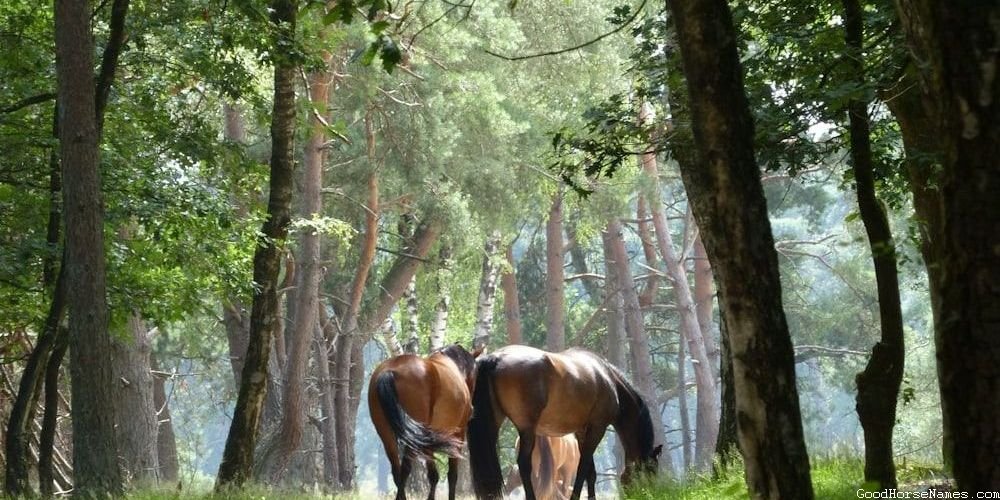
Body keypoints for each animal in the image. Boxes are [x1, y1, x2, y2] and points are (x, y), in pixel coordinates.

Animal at [370, 344, 482, 500]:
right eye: (476, 373)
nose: (471, 410)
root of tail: (391, 370)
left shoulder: (429, 438)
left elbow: (433, 475)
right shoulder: (458, 434)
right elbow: (452, 475)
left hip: (387, 434)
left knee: (397, 472)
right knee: (405, 470)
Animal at [466, 346, 660, 500]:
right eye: (652, 471)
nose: (650, 494)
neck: (609, 379)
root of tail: (496, 358)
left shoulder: (582, 432)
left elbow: (591, 473)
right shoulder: (597, 429)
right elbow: (583, 468)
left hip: (495, 425)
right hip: (527, 430)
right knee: (524, 465)